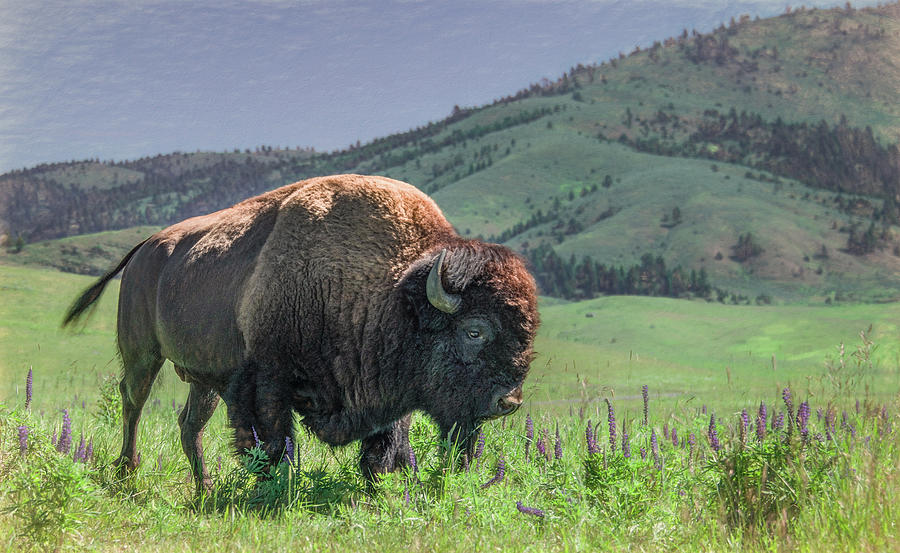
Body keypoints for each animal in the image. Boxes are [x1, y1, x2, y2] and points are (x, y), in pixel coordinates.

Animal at [67, 172, 540, 488]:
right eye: (474, 331)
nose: (509, 401)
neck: (393, 290)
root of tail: (146, 248)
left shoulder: (389, 394)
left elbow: (388, 447)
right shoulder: (265, 383)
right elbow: (272, 446)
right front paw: (274, 491)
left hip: (203, 378)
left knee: (189, 425)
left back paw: (202, 488)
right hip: (143, 354)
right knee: (133, 401)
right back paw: (127, 471)